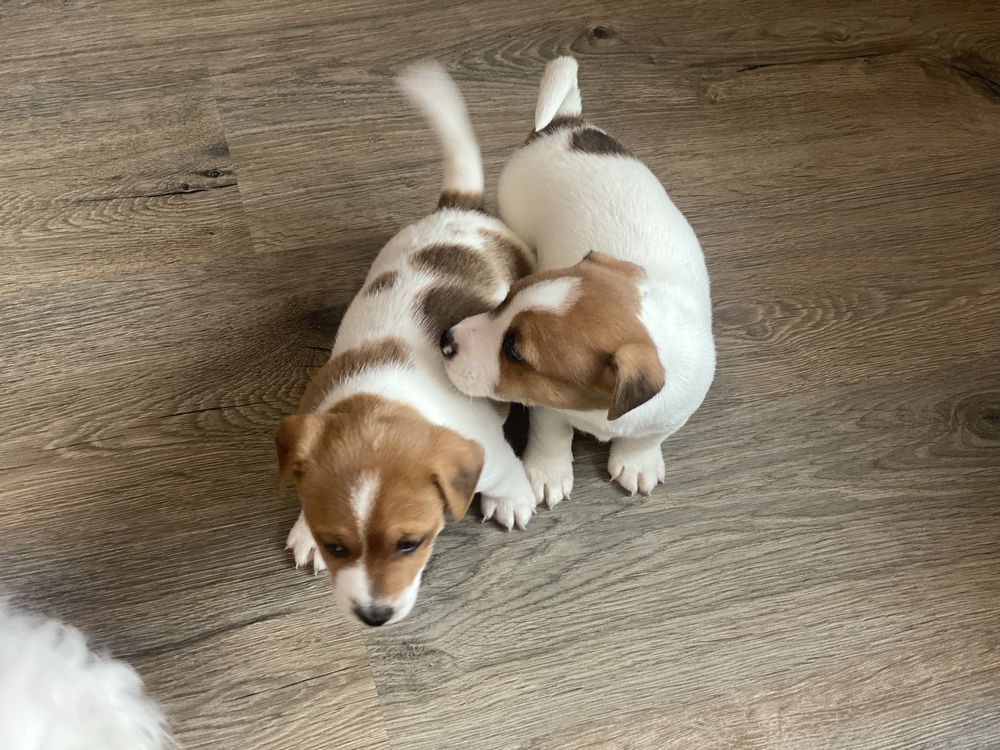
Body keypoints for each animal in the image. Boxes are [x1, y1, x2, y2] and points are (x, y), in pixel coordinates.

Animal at [277, 62, 537, 627]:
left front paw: (512, 498)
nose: (374, 616)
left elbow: (505, 476)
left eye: (409, 544)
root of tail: (462, 210)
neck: (381, 397)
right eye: (335, 546)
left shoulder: (488, 454)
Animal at [440, 56, 715, 504]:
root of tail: (565, 123)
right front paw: (547, 471)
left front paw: (637, 460)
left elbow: (647, 437)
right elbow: (551, 434)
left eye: (515, 352)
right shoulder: (547, 407)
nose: (445, 341)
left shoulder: (672, 413)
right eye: (504, 300)